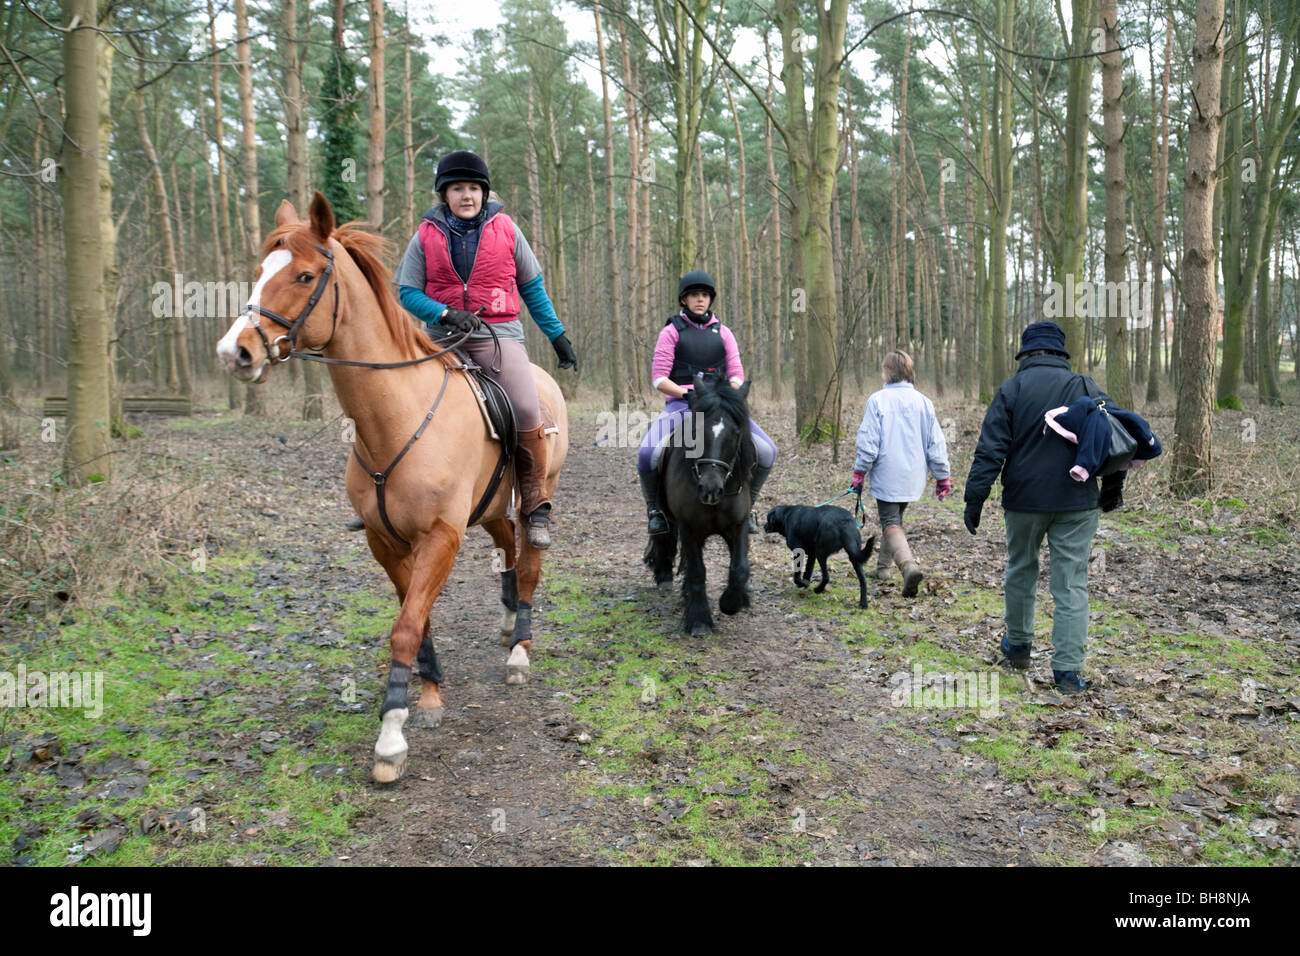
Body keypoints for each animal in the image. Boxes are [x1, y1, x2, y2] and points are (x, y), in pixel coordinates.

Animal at [215, 195, 566, 785]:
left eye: (303, 275)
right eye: (260, 271)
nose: (234, 352)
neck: (394, 420)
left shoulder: (440, 537)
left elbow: (406, 626)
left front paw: (391, 737)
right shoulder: (384, 541)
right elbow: (416, 619)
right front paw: (428, 696)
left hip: (533, 495)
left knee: (530, 561)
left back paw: (519, 649)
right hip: (492, 508)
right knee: (508, 552)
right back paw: (505, 621)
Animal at [644, 371, 759, 634]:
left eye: (736, 432)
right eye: (695, 431)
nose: (710, 489)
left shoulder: (738, 526)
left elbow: (740, 568)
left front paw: (732, 602)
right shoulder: (688, 527)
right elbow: (697, 571)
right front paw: (699, 620)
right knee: (663, 535)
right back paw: (664, 577)